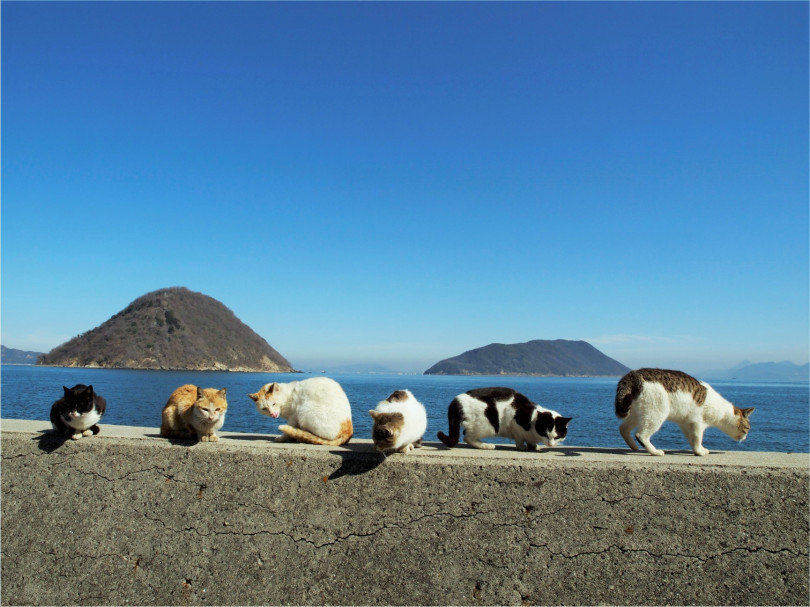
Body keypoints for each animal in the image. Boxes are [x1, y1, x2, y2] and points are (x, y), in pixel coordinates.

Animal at [436, 390, 568, 452]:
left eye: (557, 437)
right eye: (545, 433)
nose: (550, 444)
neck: (532, 419)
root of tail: (456, 401)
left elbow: (531, 441)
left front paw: (534, 446)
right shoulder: (514, 422)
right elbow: (519, 439)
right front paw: (522, 447)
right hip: (486, 425)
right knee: (466, 437)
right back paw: (486, 445)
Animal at [616, 366, 756, 456]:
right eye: (747, 428)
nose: (745, 438)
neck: (721, 410)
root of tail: (633, 374)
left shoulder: (685, 423)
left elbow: (691, 439)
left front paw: (699, 449)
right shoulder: (698, 422)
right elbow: (698, 437)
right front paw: (699, 452)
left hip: (637, 413)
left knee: (623, 428)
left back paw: (633, 446)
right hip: (655, 413)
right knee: (641, 435)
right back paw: (655, 451)